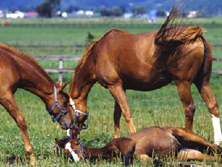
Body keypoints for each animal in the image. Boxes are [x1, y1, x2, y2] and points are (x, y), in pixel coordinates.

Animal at [68, 4, 222, 144]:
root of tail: (197, 37)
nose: (71, 136)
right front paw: (116, 140)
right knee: (212, 106)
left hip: (183, 83)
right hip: (202, 82)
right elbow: (117, 114)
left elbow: (126, 113)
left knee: (189, 109)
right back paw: (217, 142)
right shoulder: (120, 87)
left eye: (68, 109)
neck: (97, 54)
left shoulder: (114, 86)